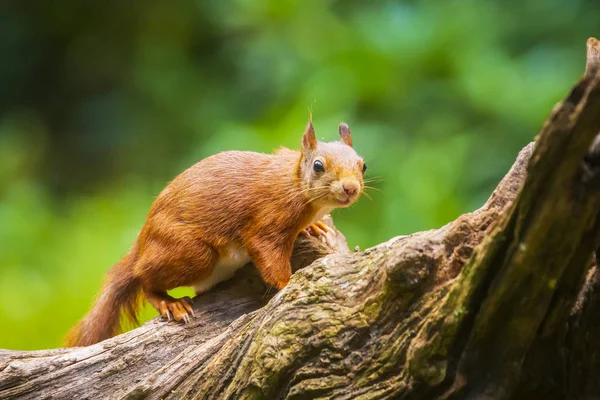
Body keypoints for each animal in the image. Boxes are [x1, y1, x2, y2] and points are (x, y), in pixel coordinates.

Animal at [65, 122, 366, 346]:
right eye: (318, 166)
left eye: (363, 165)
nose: (350, 188)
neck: (293, 181)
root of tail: (142, 243)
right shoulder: (267, 221)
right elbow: (269, 257)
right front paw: (288, 284)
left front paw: (314, 227)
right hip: (192, 254)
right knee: (144, 278)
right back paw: (169, 303)